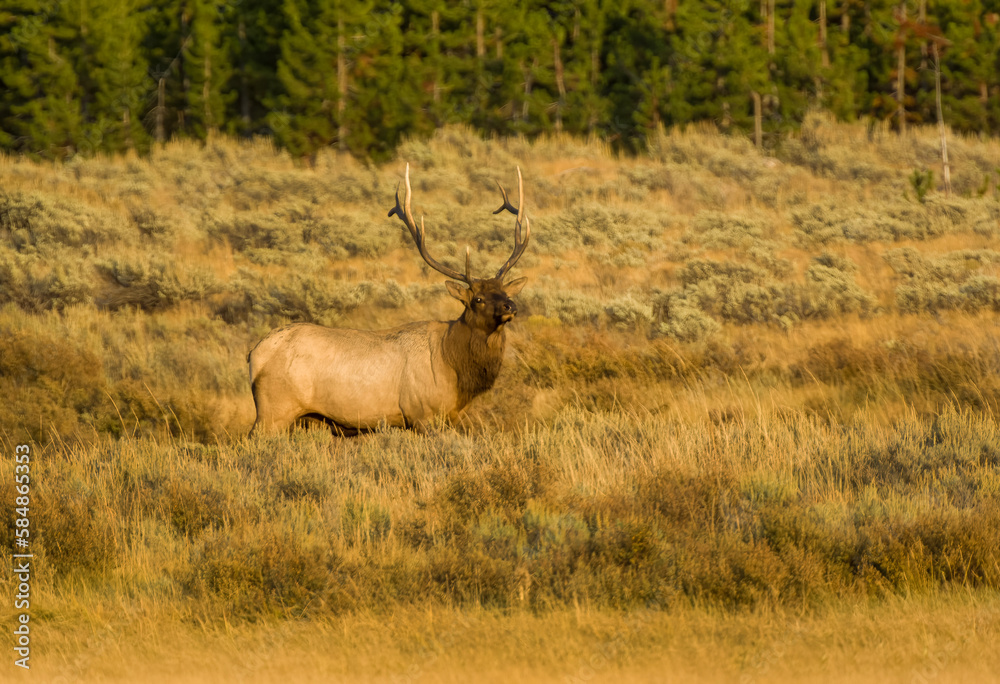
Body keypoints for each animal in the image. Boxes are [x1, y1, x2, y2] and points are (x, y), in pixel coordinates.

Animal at [247, 163, 531, 436]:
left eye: (505, 293)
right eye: (478, 299)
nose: (511, 306)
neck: (454, 366)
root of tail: (253, 354)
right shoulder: (422, 414)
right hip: (274, 409)